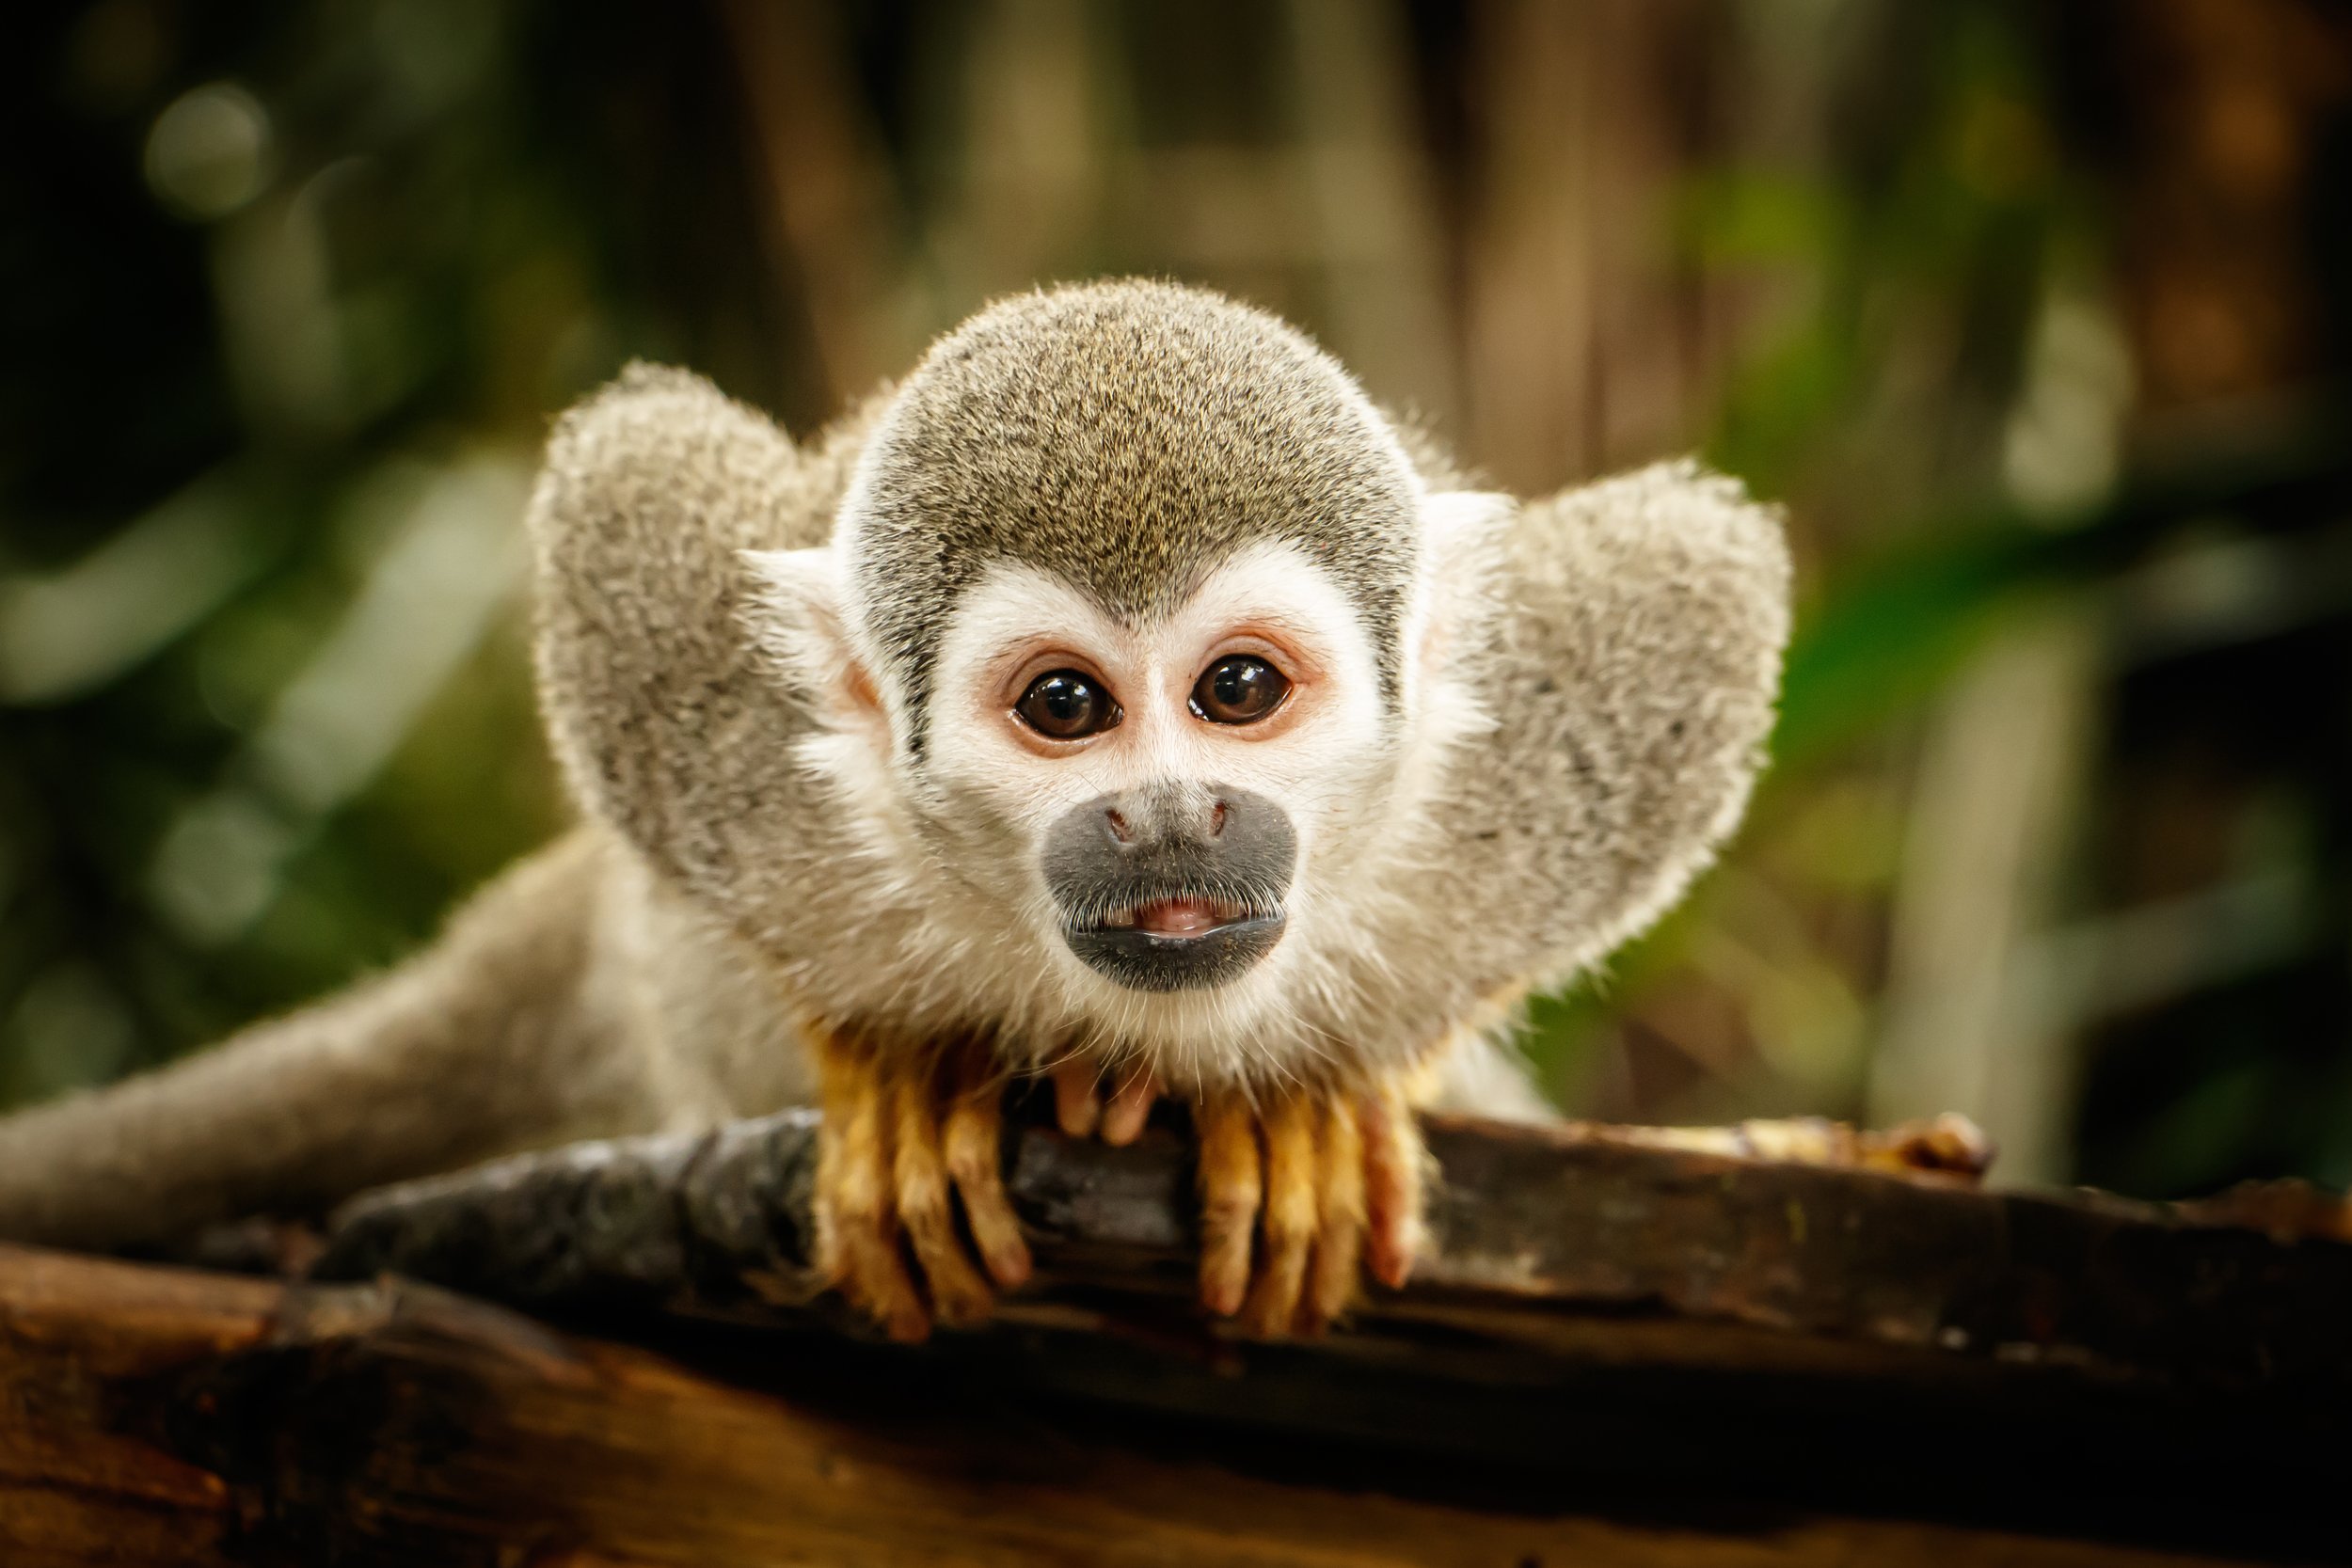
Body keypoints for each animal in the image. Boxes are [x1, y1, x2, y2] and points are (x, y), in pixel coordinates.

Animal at [0, 279, 1789, 1341]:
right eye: (1065, 707)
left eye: (1236, 691)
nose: (1169, 817)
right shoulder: (723, 751)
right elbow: (631, 478)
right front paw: (890, 1066)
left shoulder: (1540, 761)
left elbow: (1703, 578)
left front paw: (1322, 1095)